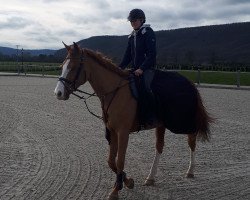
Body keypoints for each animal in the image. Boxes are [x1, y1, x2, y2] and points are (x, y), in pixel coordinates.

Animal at [53, 42, 212, 200]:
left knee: (192, 140)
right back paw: (150, 177)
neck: (115, 91)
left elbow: (120, 160)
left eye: (73, 67)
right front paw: (127, 181)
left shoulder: (123, 132)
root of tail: (189, 83)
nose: (58, 93)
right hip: (162, 125)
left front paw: (116, 189)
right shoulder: (112, 131)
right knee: (159, 147)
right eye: (62, 66)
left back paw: (190, 171)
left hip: (182, 123)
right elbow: (111, 161)